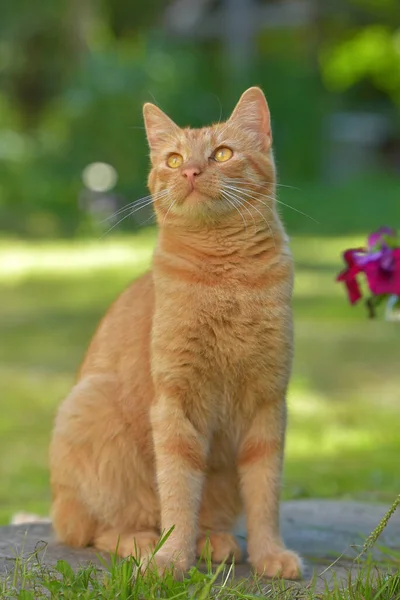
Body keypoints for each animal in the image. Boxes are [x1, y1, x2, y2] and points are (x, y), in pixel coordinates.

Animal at [49, 86, 300, 580]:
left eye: (222, 154)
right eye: (173, 159)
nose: (190, 171)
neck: (227, 282)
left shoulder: (267, 403)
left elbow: (265, 494)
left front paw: (269, 554)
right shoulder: (175, 403)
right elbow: (179, 492)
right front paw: (171, 560)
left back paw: (215, 542)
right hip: (88, 408)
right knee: (95, 530)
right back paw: (143, 543)